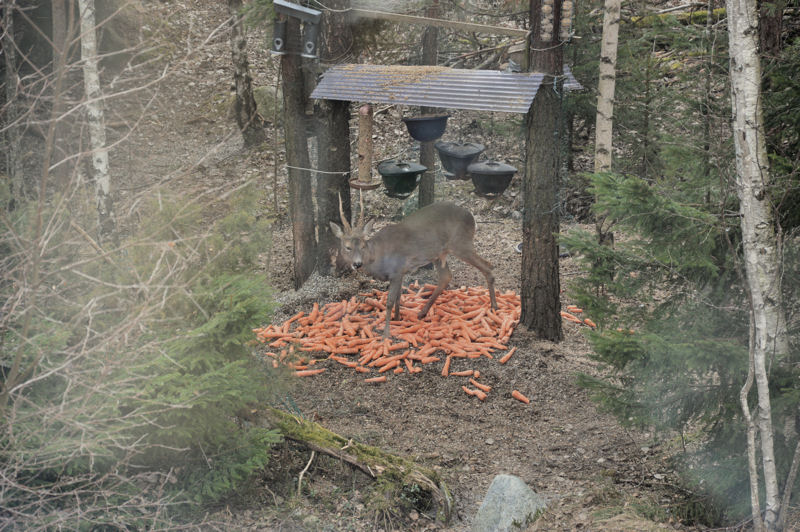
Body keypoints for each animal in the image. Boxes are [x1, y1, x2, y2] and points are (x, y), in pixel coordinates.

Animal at [330, 194, 494, 336]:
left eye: (363, 246)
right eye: (347, 247)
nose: (357, 264)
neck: (377, 257)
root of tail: (471, 216)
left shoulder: (396, 270)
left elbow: (389, 301)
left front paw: (386, 334)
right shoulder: (401, 272)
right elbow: (398, 298)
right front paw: (397, 319)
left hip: (461, 243)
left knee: (488, 266)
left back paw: (494, 307)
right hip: (439, 253)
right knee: (446, 276)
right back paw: (422, 312)